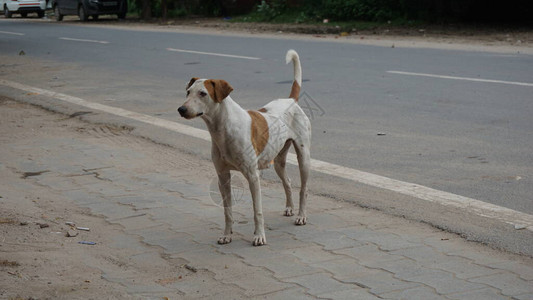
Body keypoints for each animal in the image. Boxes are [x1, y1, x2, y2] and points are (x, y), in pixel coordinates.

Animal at [179, 49, 312, 246]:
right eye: (188, 92)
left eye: (203, 93)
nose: (181, 109)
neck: (223, 129)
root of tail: (291, 100)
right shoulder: (222, 176)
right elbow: (227, 210)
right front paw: (227, 234)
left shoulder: (253, 176)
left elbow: (257, 211)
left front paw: (259, 236)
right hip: (278, 161)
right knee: (287, 182)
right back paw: (289, 208)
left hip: (304, 157)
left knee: (303, 189)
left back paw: (301, 216)